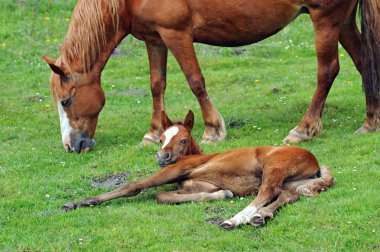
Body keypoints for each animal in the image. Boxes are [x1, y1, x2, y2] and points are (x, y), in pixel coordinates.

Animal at [42, 0, 380, 153]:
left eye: (66, 101)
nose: (71, 146)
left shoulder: (176, 34)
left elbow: (195, 80)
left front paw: (212, 129)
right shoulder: (155, 39)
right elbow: (156, 85)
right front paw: (153, 132)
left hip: (326, 19)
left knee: (328, 71)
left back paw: (305, 128)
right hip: (342, 20)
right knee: (365, 62)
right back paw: (370, 121)